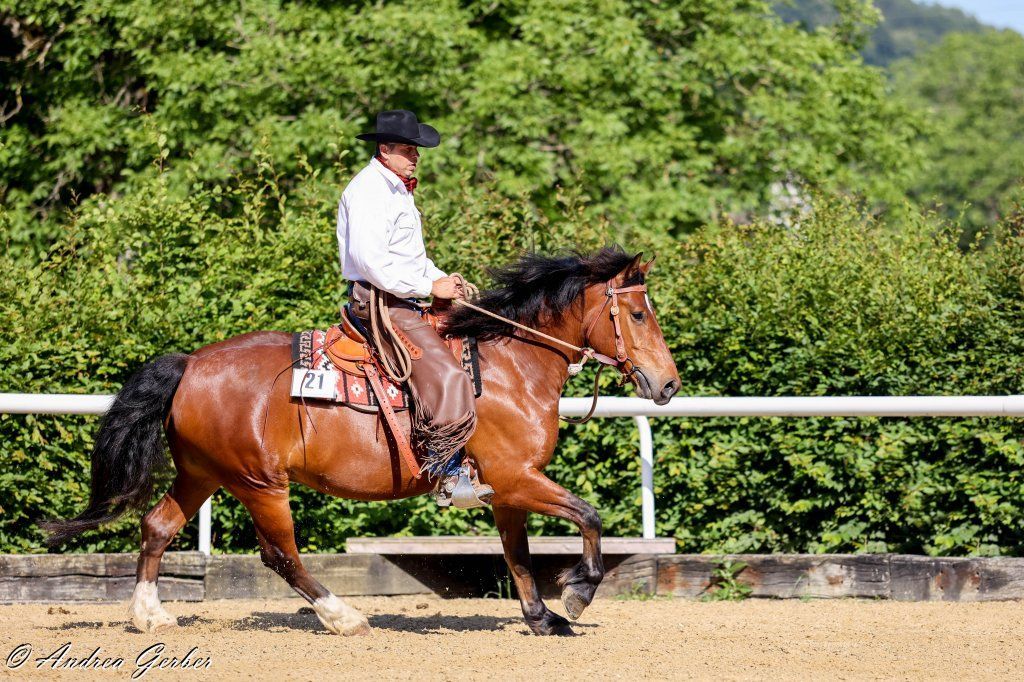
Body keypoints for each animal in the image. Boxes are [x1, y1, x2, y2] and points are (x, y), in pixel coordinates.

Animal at [44, 246, 680, 637]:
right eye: (639, 314)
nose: (669, 384)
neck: (509, 366)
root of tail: (190, 364)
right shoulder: (518, 478)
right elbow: (589, 515)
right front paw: (578, 593)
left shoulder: (505, 491)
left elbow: (519, 557)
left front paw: (542, 617)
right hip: (259, 482)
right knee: (280, 554)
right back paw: (343, 616)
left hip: (203, 473)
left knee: (157, 526)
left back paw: (150, 616)